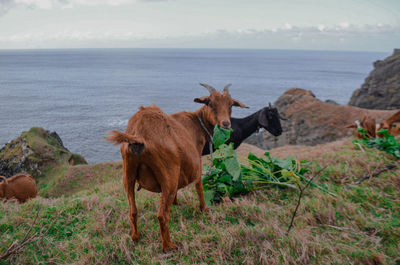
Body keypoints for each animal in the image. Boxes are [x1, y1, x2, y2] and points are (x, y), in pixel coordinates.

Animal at [106, 83, 247, 251]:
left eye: (231, 105)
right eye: (211, 104)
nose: (226, 124)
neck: (196, 122)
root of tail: (139, 134)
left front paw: (176, 203)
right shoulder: (197, 163)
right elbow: (199, 186)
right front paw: (204, 209)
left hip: (128, 173)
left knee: (133, 210)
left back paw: (135, 237)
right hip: (169, 173)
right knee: (161, 215)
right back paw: (169, 246)